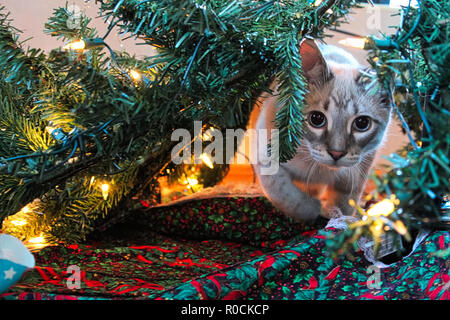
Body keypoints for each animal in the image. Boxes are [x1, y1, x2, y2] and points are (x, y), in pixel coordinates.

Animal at [248, 38, 392, 220]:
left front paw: (336, 216)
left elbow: (345, 206)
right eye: (316, 119)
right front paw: (315, 210)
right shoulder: (267, 161)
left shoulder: (355, 176)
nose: (336, 153)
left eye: (361, 123)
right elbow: (290, 198)